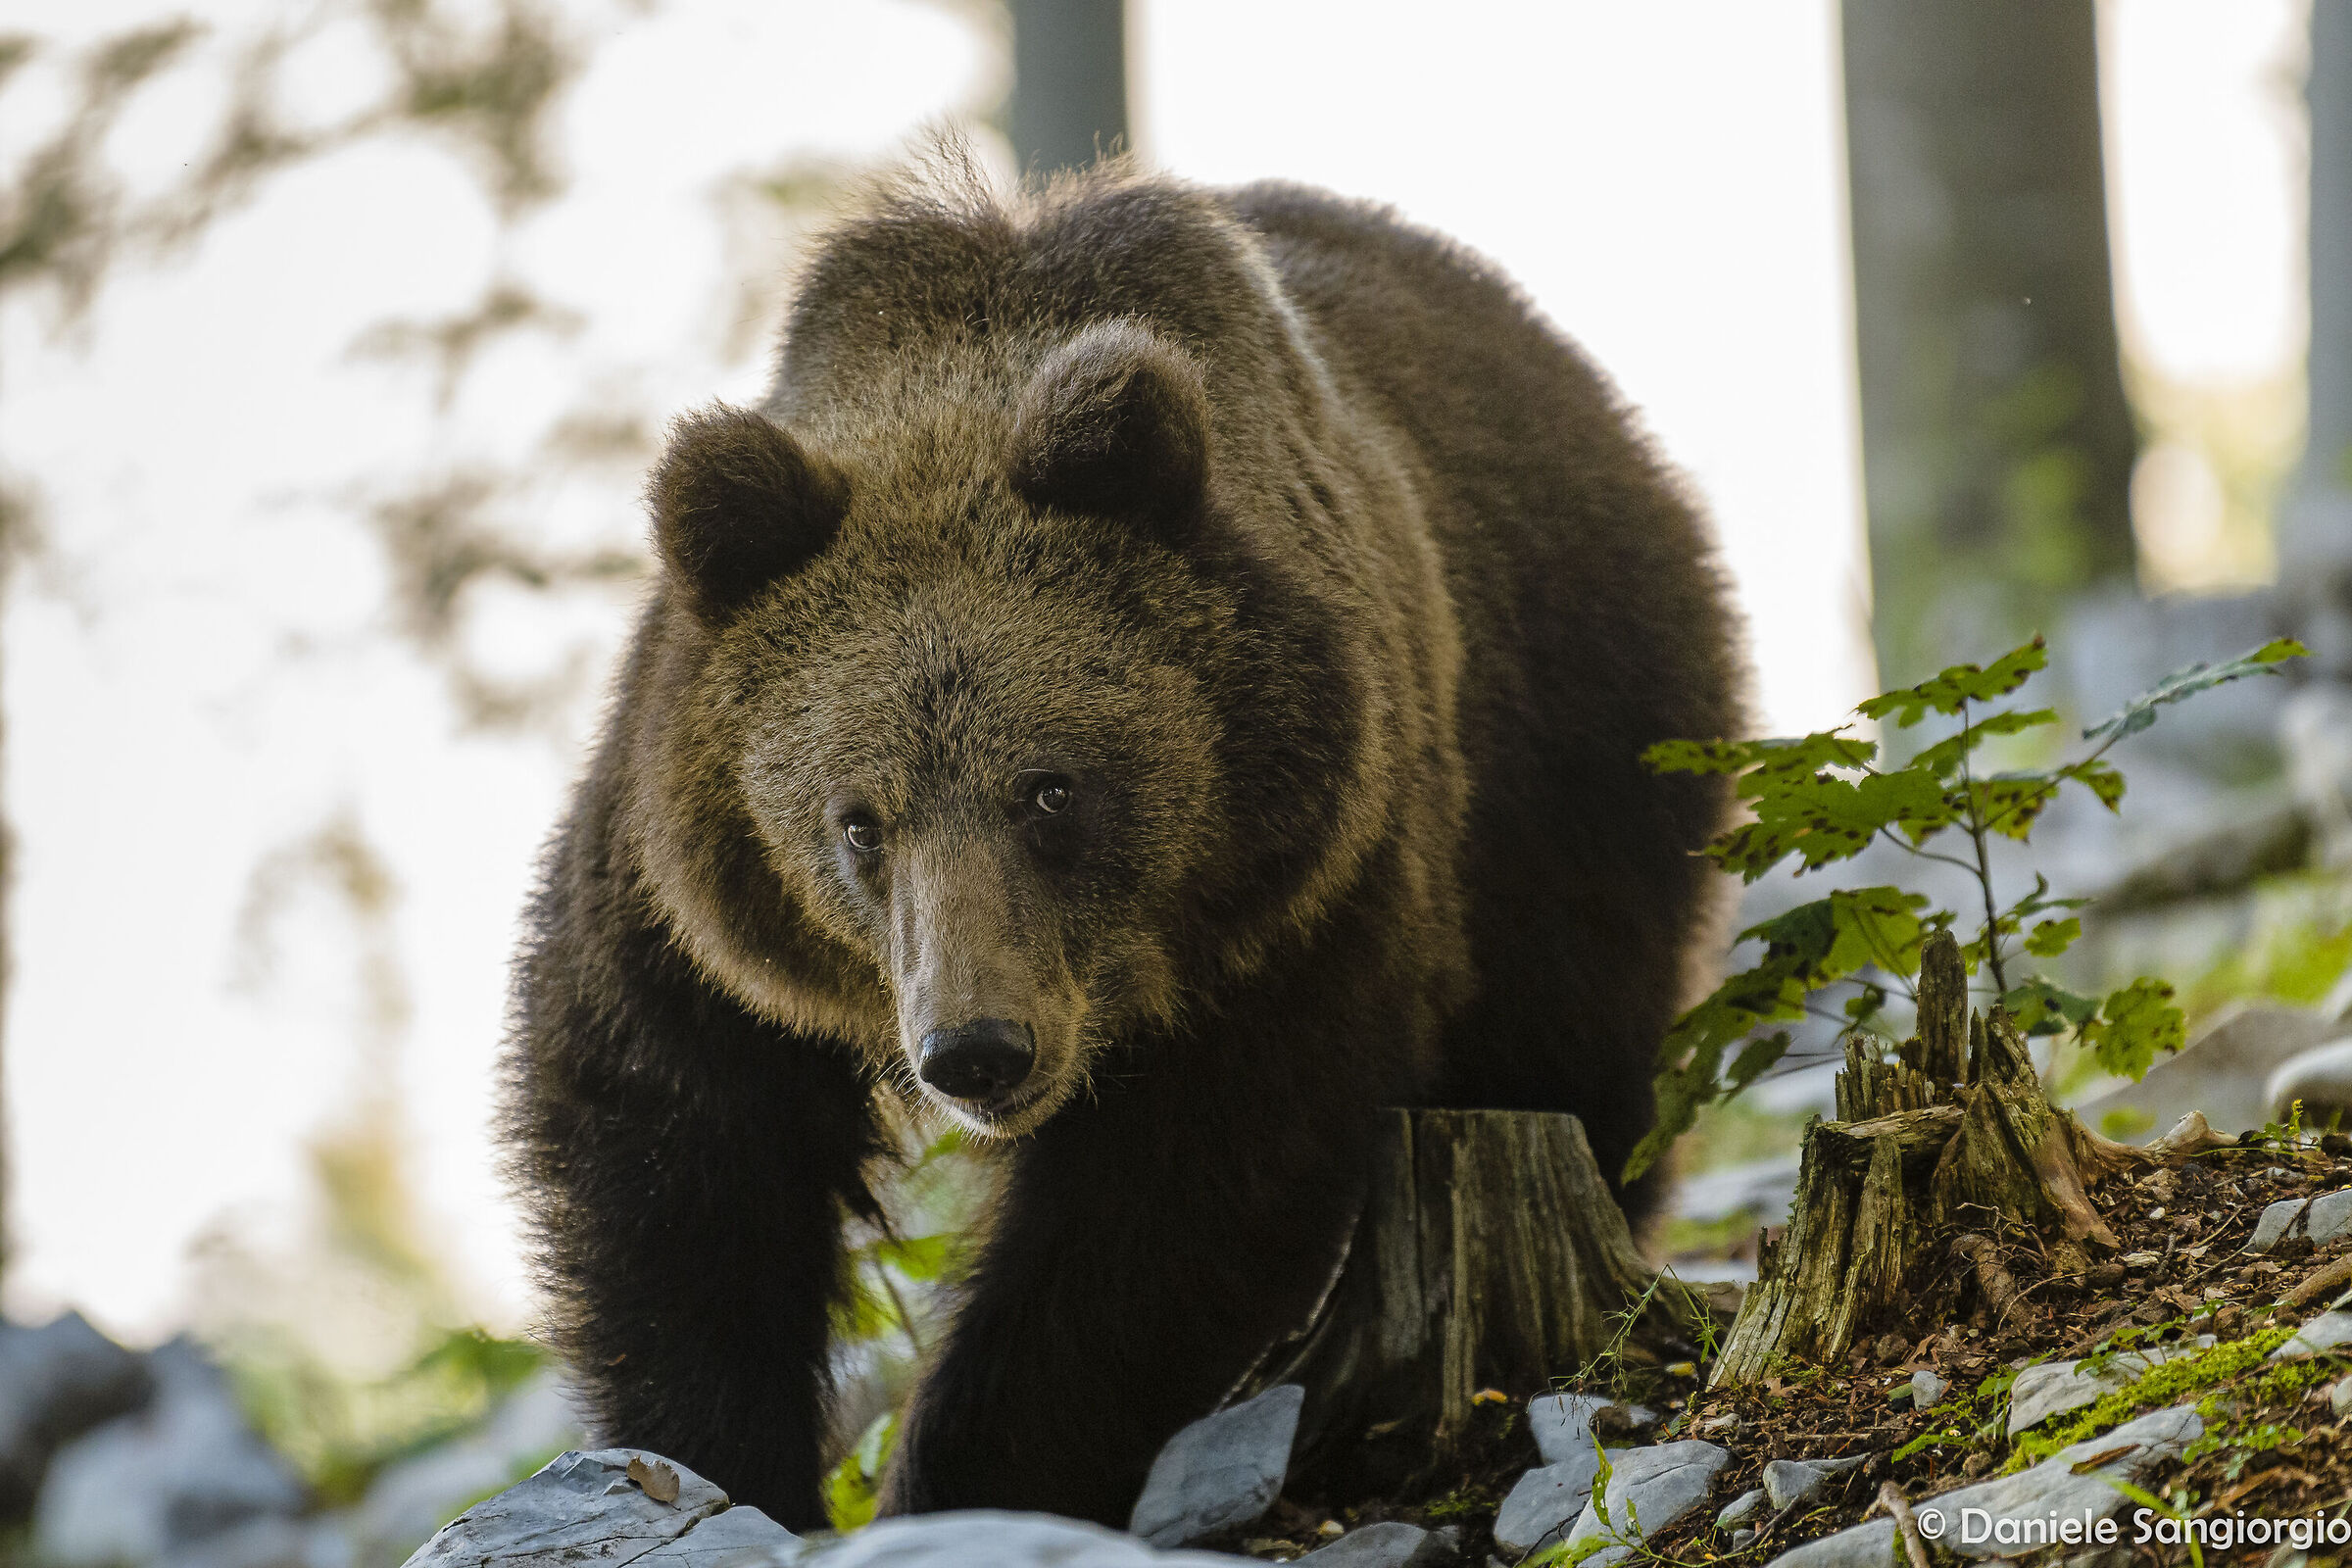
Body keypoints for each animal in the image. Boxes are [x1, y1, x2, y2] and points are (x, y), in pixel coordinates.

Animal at [502, 156, 1747, 1532]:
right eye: (857, 820)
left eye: (1050, 791)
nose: (976, 1050)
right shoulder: (689, 891)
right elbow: (679, 1165)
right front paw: (723, 1468)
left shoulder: (1303, 895)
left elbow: (1170, 1207)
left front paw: (969, 1480)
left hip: (1579, 740)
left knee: (1572, 1036)